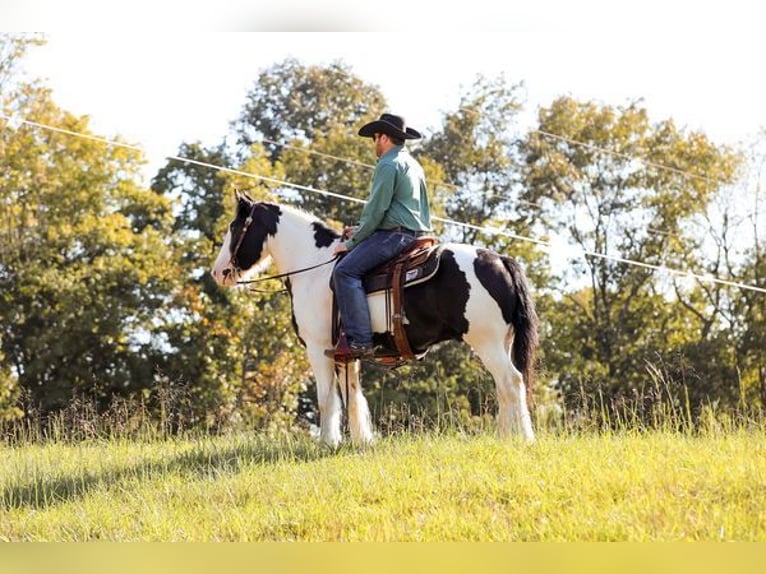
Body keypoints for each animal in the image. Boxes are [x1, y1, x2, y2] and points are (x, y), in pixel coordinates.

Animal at [210, 196, 540, 448]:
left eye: (235, 227)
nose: (217, 272)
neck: (314, 268)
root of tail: (499, 260)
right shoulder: (346, 353)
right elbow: (352, 396)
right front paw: (360, 441)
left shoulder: (317, 348)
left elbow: (326, 399)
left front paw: (327, 443)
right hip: (500, 342)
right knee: (503, 387)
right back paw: (505, 438)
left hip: (487, 343)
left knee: (512, 382)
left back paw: (524, 440)